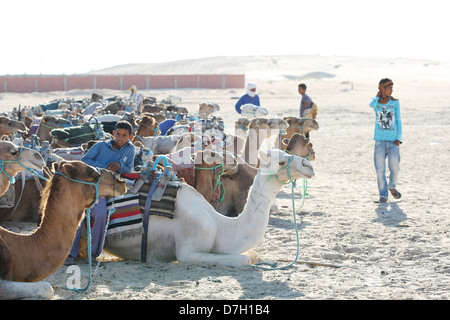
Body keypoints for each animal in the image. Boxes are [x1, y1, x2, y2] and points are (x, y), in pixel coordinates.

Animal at [102, 150, 314, 268]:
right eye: (282, 161)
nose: (309, 165)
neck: (221, 226)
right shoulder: (189, 251)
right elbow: (244, 259)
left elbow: (253, 254)